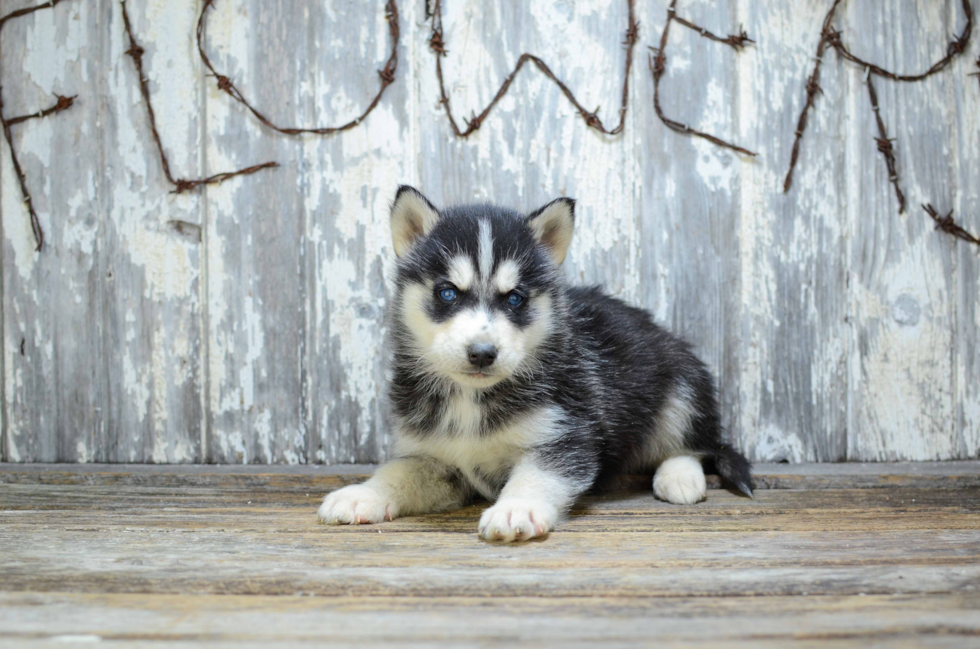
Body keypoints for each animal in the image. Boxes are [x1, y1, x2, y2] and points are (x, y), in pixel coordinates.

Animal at [318, 185, 756, 540]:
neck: (471, 399)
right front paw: (362, 495)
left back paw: (678, 476)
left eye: (515, 298)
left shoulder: (563, 435)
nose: (482, 352)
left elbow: (536, 477)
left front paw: (516, 509)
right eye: (447, 293)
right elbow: (397, 473)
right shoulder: (436, 459)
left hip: (681, 383)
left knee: (695, 444)